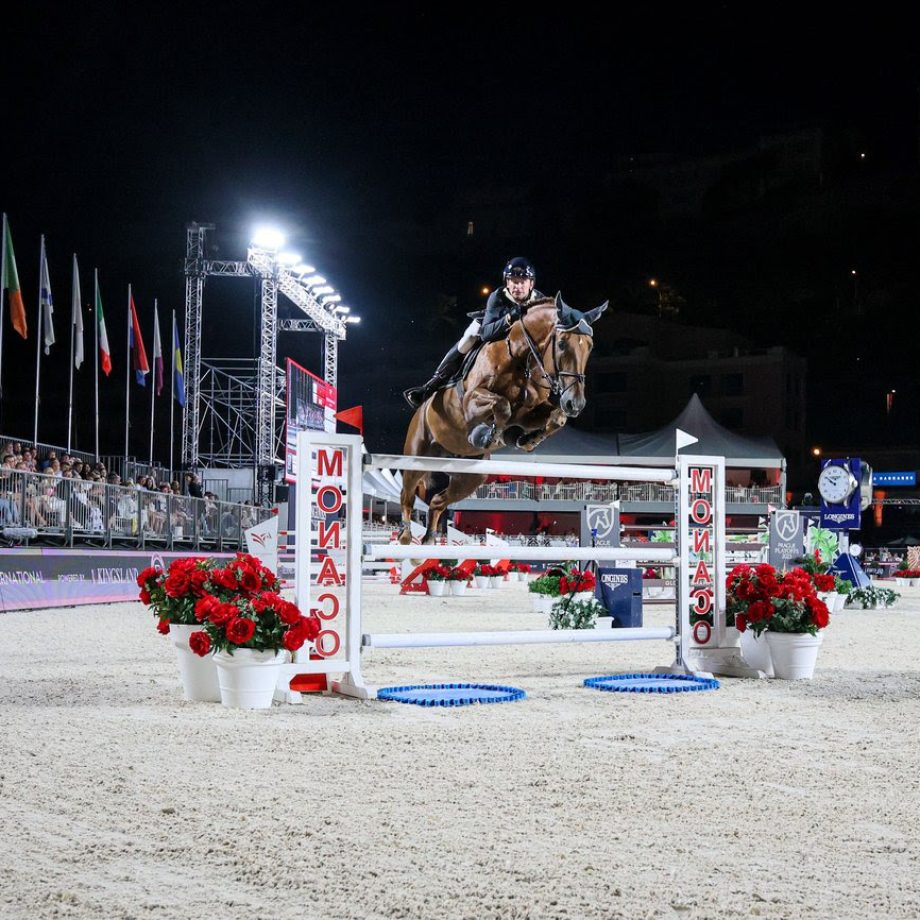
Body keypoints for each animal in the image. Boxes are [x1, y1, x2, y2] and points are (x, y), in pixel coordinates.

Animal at [398, 292, 608, 544]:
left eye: (590, 346)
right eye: (561, 343)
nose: (575, 403)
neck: (519, 358)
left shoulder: (530, 413)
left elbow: (557, 419)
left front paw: (526, 439)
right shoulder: (471, 401)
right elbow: (503, 405)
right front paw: (487, 435)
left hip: (470, 477)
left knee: (438, 501)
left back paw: (429, 541)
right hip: (417, 456)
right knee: (407, 495)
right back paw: (405, 535)